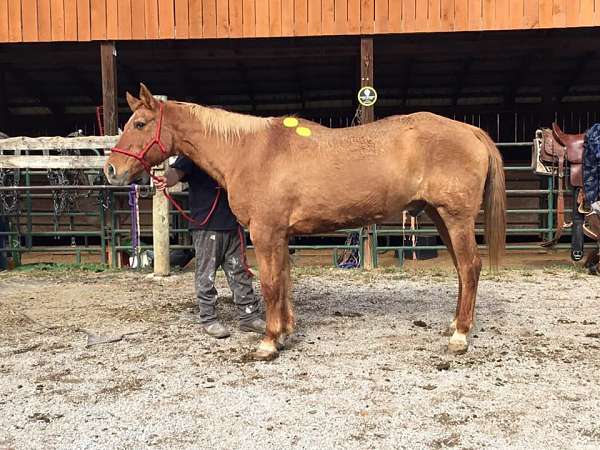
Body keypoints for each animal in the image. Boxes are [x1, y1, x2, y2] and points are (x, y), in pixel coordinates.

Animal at [104, 82, 506, 360]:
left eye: (140, 123)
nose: (111, 170)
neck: (248, 152)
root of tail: (470, 131)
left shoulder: (265, 232)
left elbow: (269, 284)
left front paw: (268, 343)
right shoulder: (280, 234)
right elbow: (283, 281)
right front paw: (284, 332)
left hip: (455, 218)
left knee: (470, 267)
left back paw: (460, 336)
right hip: (440, 217)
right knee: (462, 270)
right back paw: (455, 324)